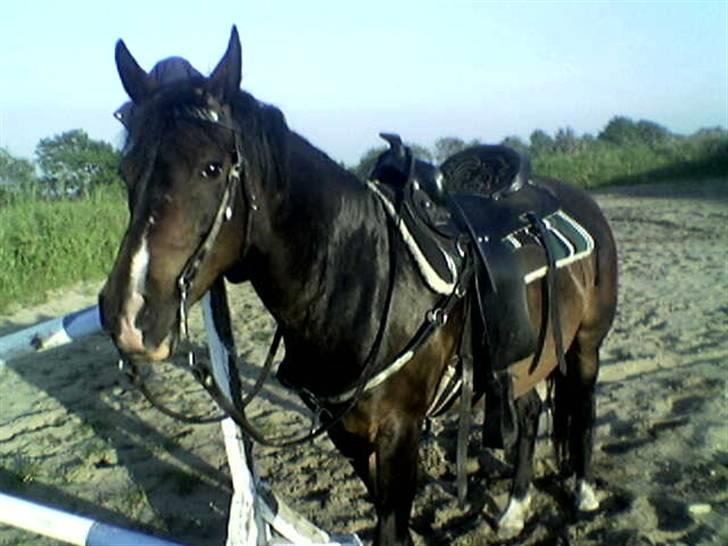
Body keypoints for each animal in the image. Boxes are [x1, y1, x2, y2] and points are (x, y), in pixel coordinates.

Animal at [99, 28, 616, 544]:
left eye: (210, 168)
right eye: (127, 170)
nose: (130, 317)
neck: (360, 279)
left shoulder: (399, 431)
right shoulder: (347, 433)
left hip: (585, 345)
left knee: (583, 408)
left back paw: (584, 492)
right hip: (524, 358)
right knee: (528, 417)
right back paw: (515, 508)